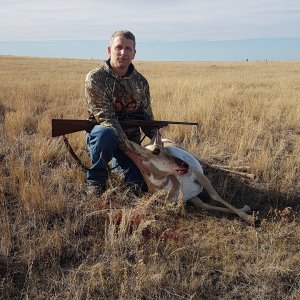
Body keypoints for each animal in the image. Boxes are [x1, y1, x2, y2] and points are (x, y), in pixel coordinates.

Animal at [125, 138, 254, 223]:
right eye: (155, 151)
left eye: (165, 149)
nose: (185, 164)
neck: (172, 186)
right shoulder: (192, 198)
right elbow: (205, 205)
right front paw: (246, 211)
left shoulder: (199, 176)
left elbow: (214, 196)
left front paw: (249, 217)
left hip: (196, 158)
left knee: (212, 165)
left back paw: (249, 172)